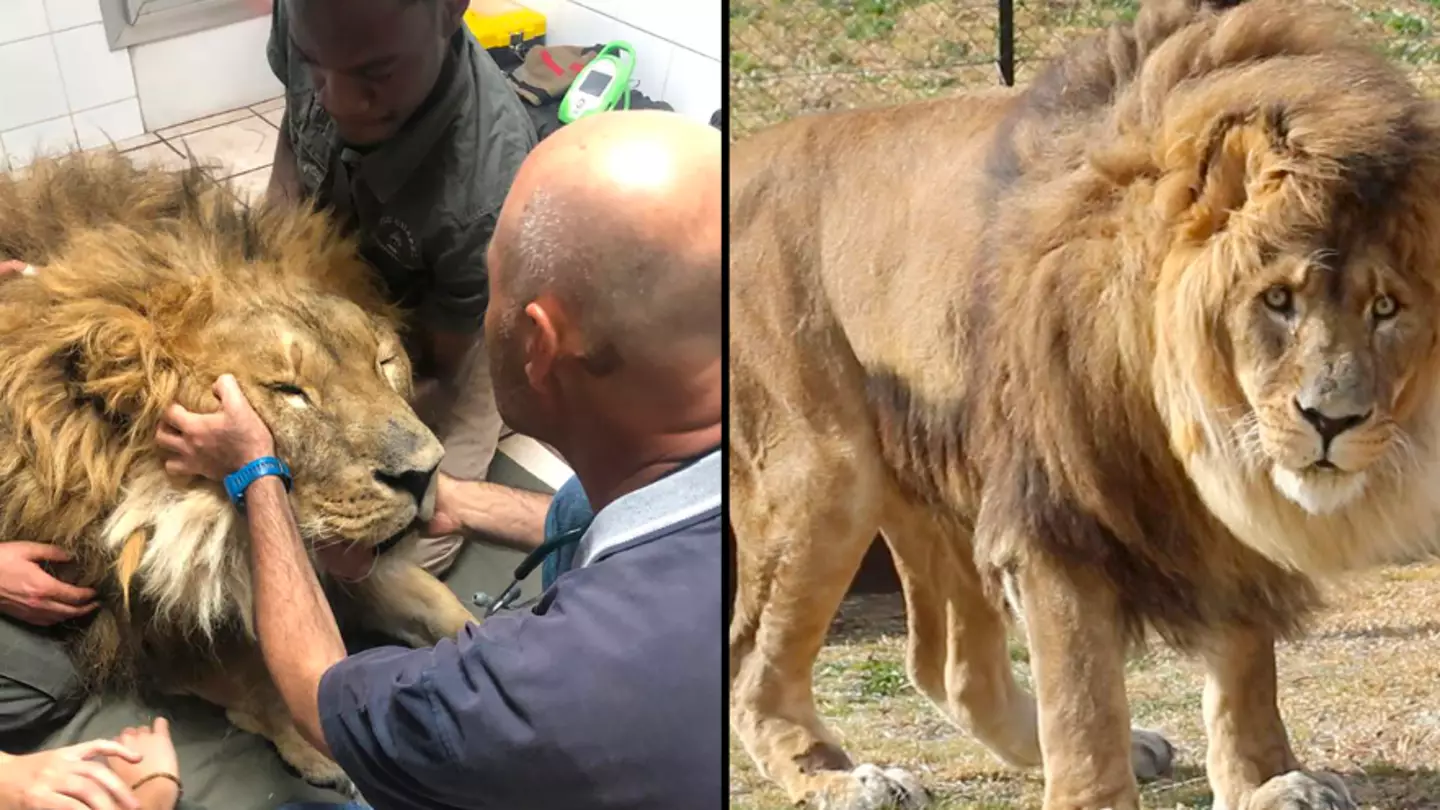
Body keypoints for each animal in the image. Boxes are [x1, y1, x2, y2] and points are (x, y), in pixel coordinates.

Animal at [0, 149, 478, 789]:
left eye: (383, 363)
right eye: (288, 391)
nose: (426, 473)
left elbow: (432, 600)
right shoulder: (135, 626)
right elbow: (251, 674)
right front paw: (317, 748)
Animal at [725, 1, 1440, 807]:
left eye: (1386, 308)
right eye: (1278, 299)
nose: (1332, 421)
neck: (1186, 414)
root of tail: (740, 156)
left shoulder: (1221, 528)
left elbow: (1247, 665)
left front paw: (1267, 781)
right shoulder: (1055, 512)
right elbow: (1082, 697)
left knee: (947, 664)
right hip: (821, 474)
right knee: (753, 665)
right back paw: (843, 778)